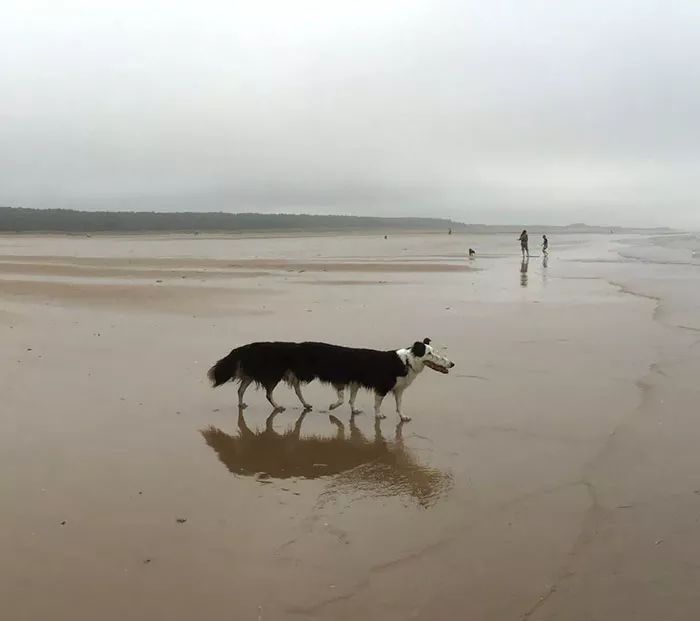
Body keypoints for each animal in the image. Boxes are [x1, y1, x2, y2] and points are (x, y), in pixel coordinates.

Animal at [208, 340, 456, 422]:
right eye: (431, 353)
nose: (452, 364)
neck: (405, 361)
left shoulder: (389, 388)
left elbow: (396, 404)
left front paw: (402, 417)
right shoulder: (378, 386)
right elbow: (370, 403)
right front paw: (377, 416)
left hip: (280, 374)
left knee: (243, 387)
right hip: (274, 374)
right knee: (267, 392)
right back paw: (278, 406)